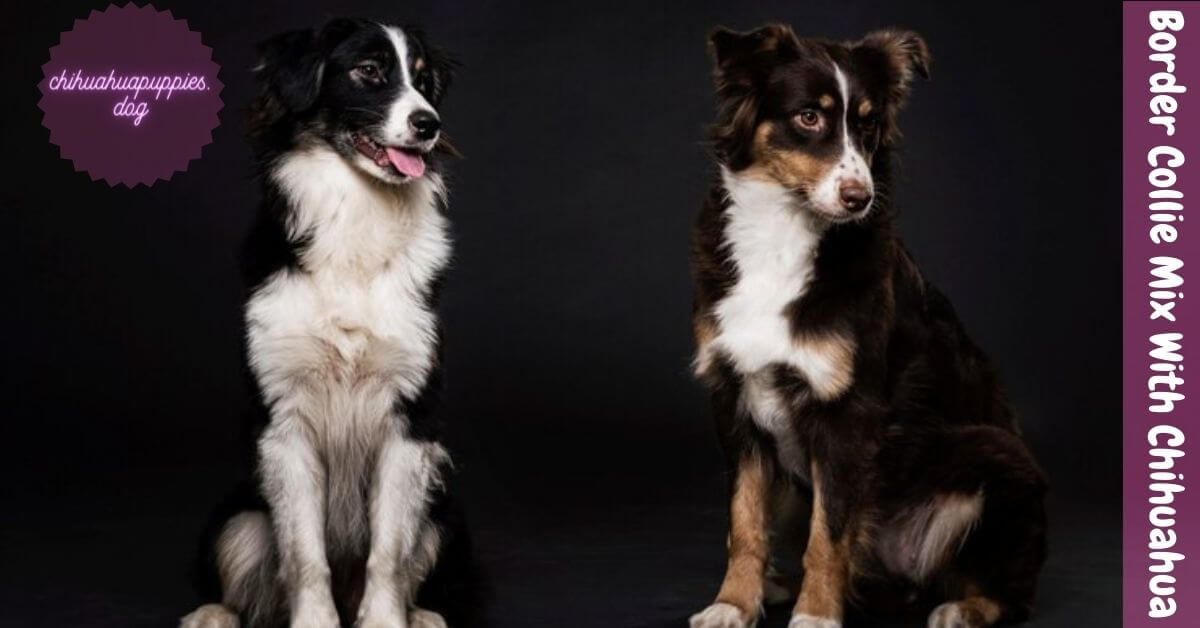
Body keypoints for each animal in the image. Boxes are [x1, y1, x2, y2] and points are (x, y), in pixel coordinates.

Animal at [182, 17, 463, 624]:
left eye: (423, 81)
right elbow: (304, 552)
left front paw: (384, 620)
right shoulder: (284, 420)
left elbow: (390, 550)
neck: (357, 210)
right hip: (237, 517)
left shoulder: (410, 420)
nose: (429, 124)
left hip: (442, 516)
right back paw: (210, 614)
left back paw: (423, 615)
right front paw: (315, 619)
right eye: (368, 71)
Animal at [691, 24, 1046, 628]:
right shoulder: (734, 399)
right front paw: (733, 603)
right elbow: (744, 524)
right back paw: (775, 586)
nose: (859, 198)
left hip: (998, 455)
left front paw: (816, 615)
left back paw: (961, 608)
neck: (783, 236)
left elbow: (829, 536)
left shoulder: (848, 414)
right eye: (809, 116)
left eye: (869, 123)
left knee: (1006, 591)